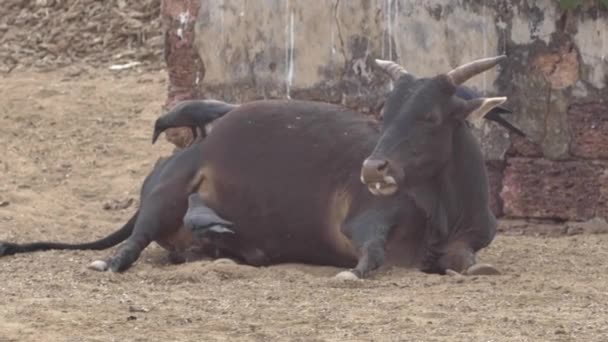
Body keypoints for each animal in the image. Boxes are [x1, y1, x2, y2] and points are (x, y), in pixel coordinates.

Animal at [2, 54, 508, 278]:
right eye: (385, 115)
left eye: (430, 117)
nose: (373, 170)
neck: (442, 210)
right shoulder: (364, 223)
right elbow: (372, 256)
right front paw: (353, 272)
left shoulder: (468, 240)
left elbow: (467, 260)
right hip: (164, 196)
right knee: (133, 243)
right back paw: (110, 261)